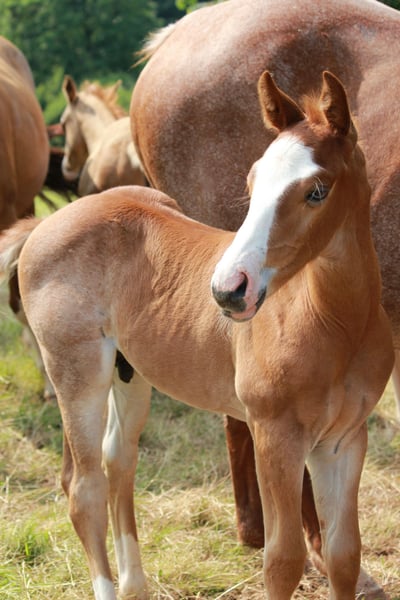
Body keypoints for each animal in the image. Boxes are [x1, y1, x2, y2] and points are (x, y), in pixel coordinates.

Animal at [0, 71, 393, 600]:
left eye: (317, 190)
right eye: (251, 182)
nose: (228, 290)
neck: (337, 323)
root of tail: (45, 224)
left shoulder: (345, 440)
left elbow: (344, 556)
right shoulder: (275, 436)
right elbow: (283, 560)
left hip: (130, 373)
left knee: (118, 461)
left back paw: (136, 584)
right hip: (77, 374)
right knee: (83, 488)